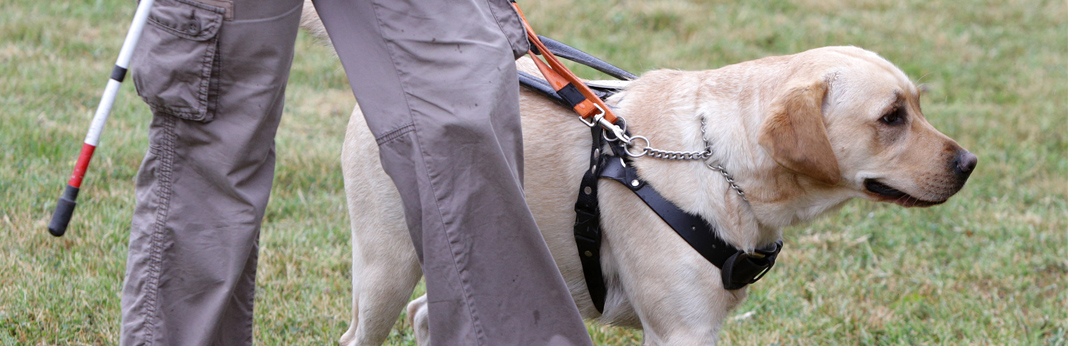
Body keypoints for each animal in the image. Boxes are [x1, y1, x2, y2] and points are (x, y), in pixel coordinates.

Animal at [303, 8, 978, 346]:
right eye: (891, 118)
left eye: (918, 105)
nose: (969, 164)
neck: (715, 159)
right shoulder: (680, 330)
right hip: (387, 265)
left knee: (428, 317)